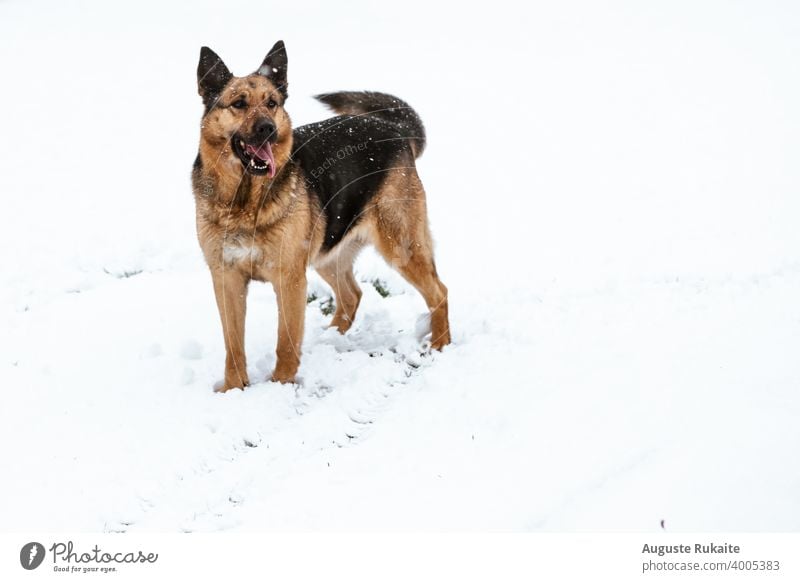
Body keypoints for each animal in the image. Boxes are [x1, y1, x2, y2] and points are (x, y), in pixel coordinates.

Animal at [191, 41, 446, 392]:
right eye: (239, 104)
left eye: (272, 103)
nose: (268, 129)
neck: (245, 201)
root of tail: (394, 130)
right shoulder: (226, 278)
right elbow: (233, 344)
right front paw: (233, 389)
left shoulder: (289, 278)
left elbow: (285, 341)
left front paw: (280, 385)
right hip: (328, 249)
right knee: (352, 295)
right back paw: (327, 340)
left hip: (401, 247)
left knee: (439, 292)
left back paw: (440, 346)